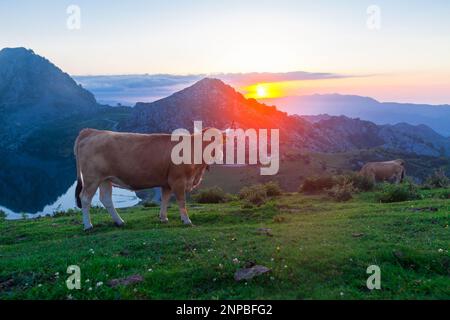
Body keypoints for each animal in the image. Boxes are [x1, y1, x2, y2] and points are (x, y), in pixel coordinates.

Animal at [74, 127, 221, 230]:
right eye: (209, 141)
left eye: (221, 142)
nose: (219, 155)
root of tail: (91, 131)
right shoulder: (178, 180)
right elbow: (181, 201)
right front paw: (186, 220)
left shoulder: (167, 182)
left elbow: (165, 199)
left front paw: (163, 218)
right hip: (92, 178)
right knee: (85, 198)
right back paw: (88, 225)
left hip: (105, 179)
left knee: (106, 199)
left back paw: (119, 222)